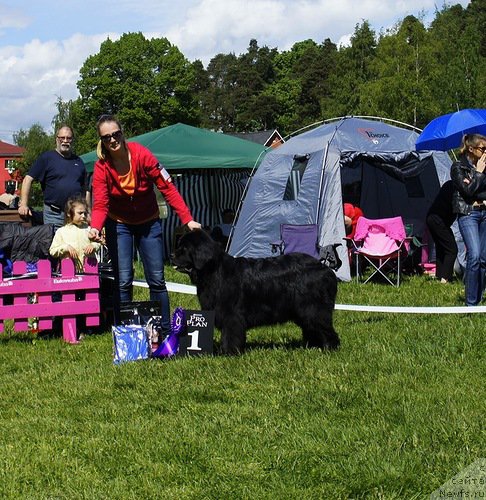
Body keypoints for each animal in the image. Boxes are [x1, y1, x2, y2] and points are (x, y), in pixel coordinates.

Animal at [173, 229, 340, 354]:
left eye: (185, 248)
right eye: (179, 245)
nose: (171, 255)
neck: (213, 271)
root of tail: (326, 269)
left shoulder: (231, 315)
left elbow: (230, 335)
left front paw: (228, 353)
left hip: (314, 309)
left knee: (325, 329)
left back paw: (329, 348)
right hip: (304, 311)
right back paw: (313, 347)